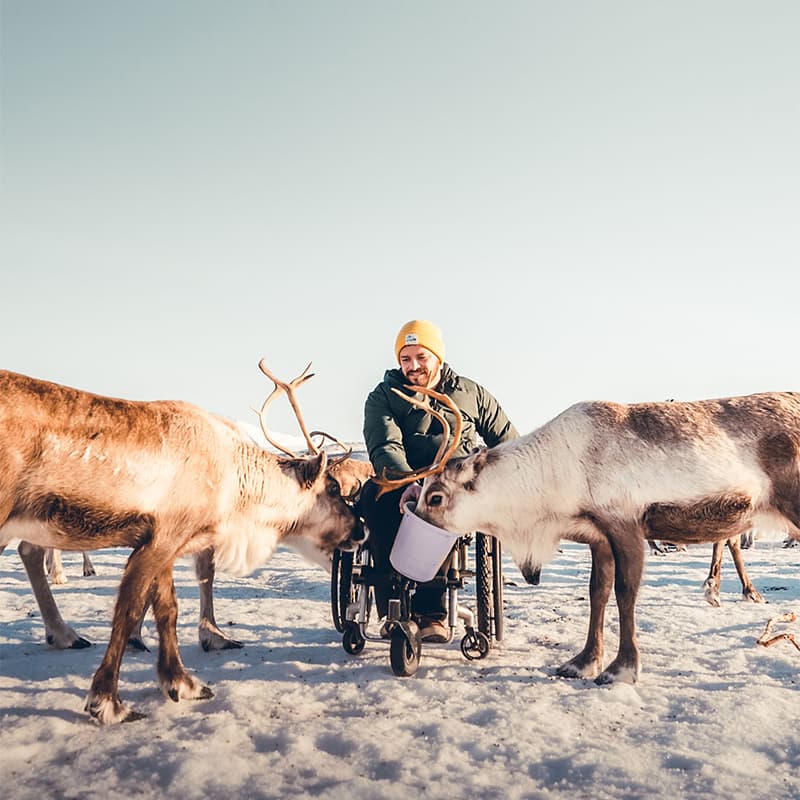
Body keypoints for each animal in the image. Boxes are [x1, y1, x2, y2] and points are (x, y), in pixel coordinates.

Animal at [0, 361, 365, 724]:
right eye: (333, 488)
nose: (361, 530)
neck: (234, 480)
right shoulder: (164, 537)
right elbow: (129, 610)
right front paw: (108, 702)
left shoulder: (166, 542)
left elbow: (167, 609)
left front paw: (181, 682)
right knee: (30, 550)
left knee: (29, 550)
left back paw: (63, 634)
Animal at [375, 385, 800, 685]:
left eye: (435, 496)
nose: (405, 529)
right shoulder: (598, 536)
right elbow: (598, 592)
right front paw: (583, 662)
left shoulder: (626, 524)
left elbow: (625, 594)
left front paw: (621, 669)